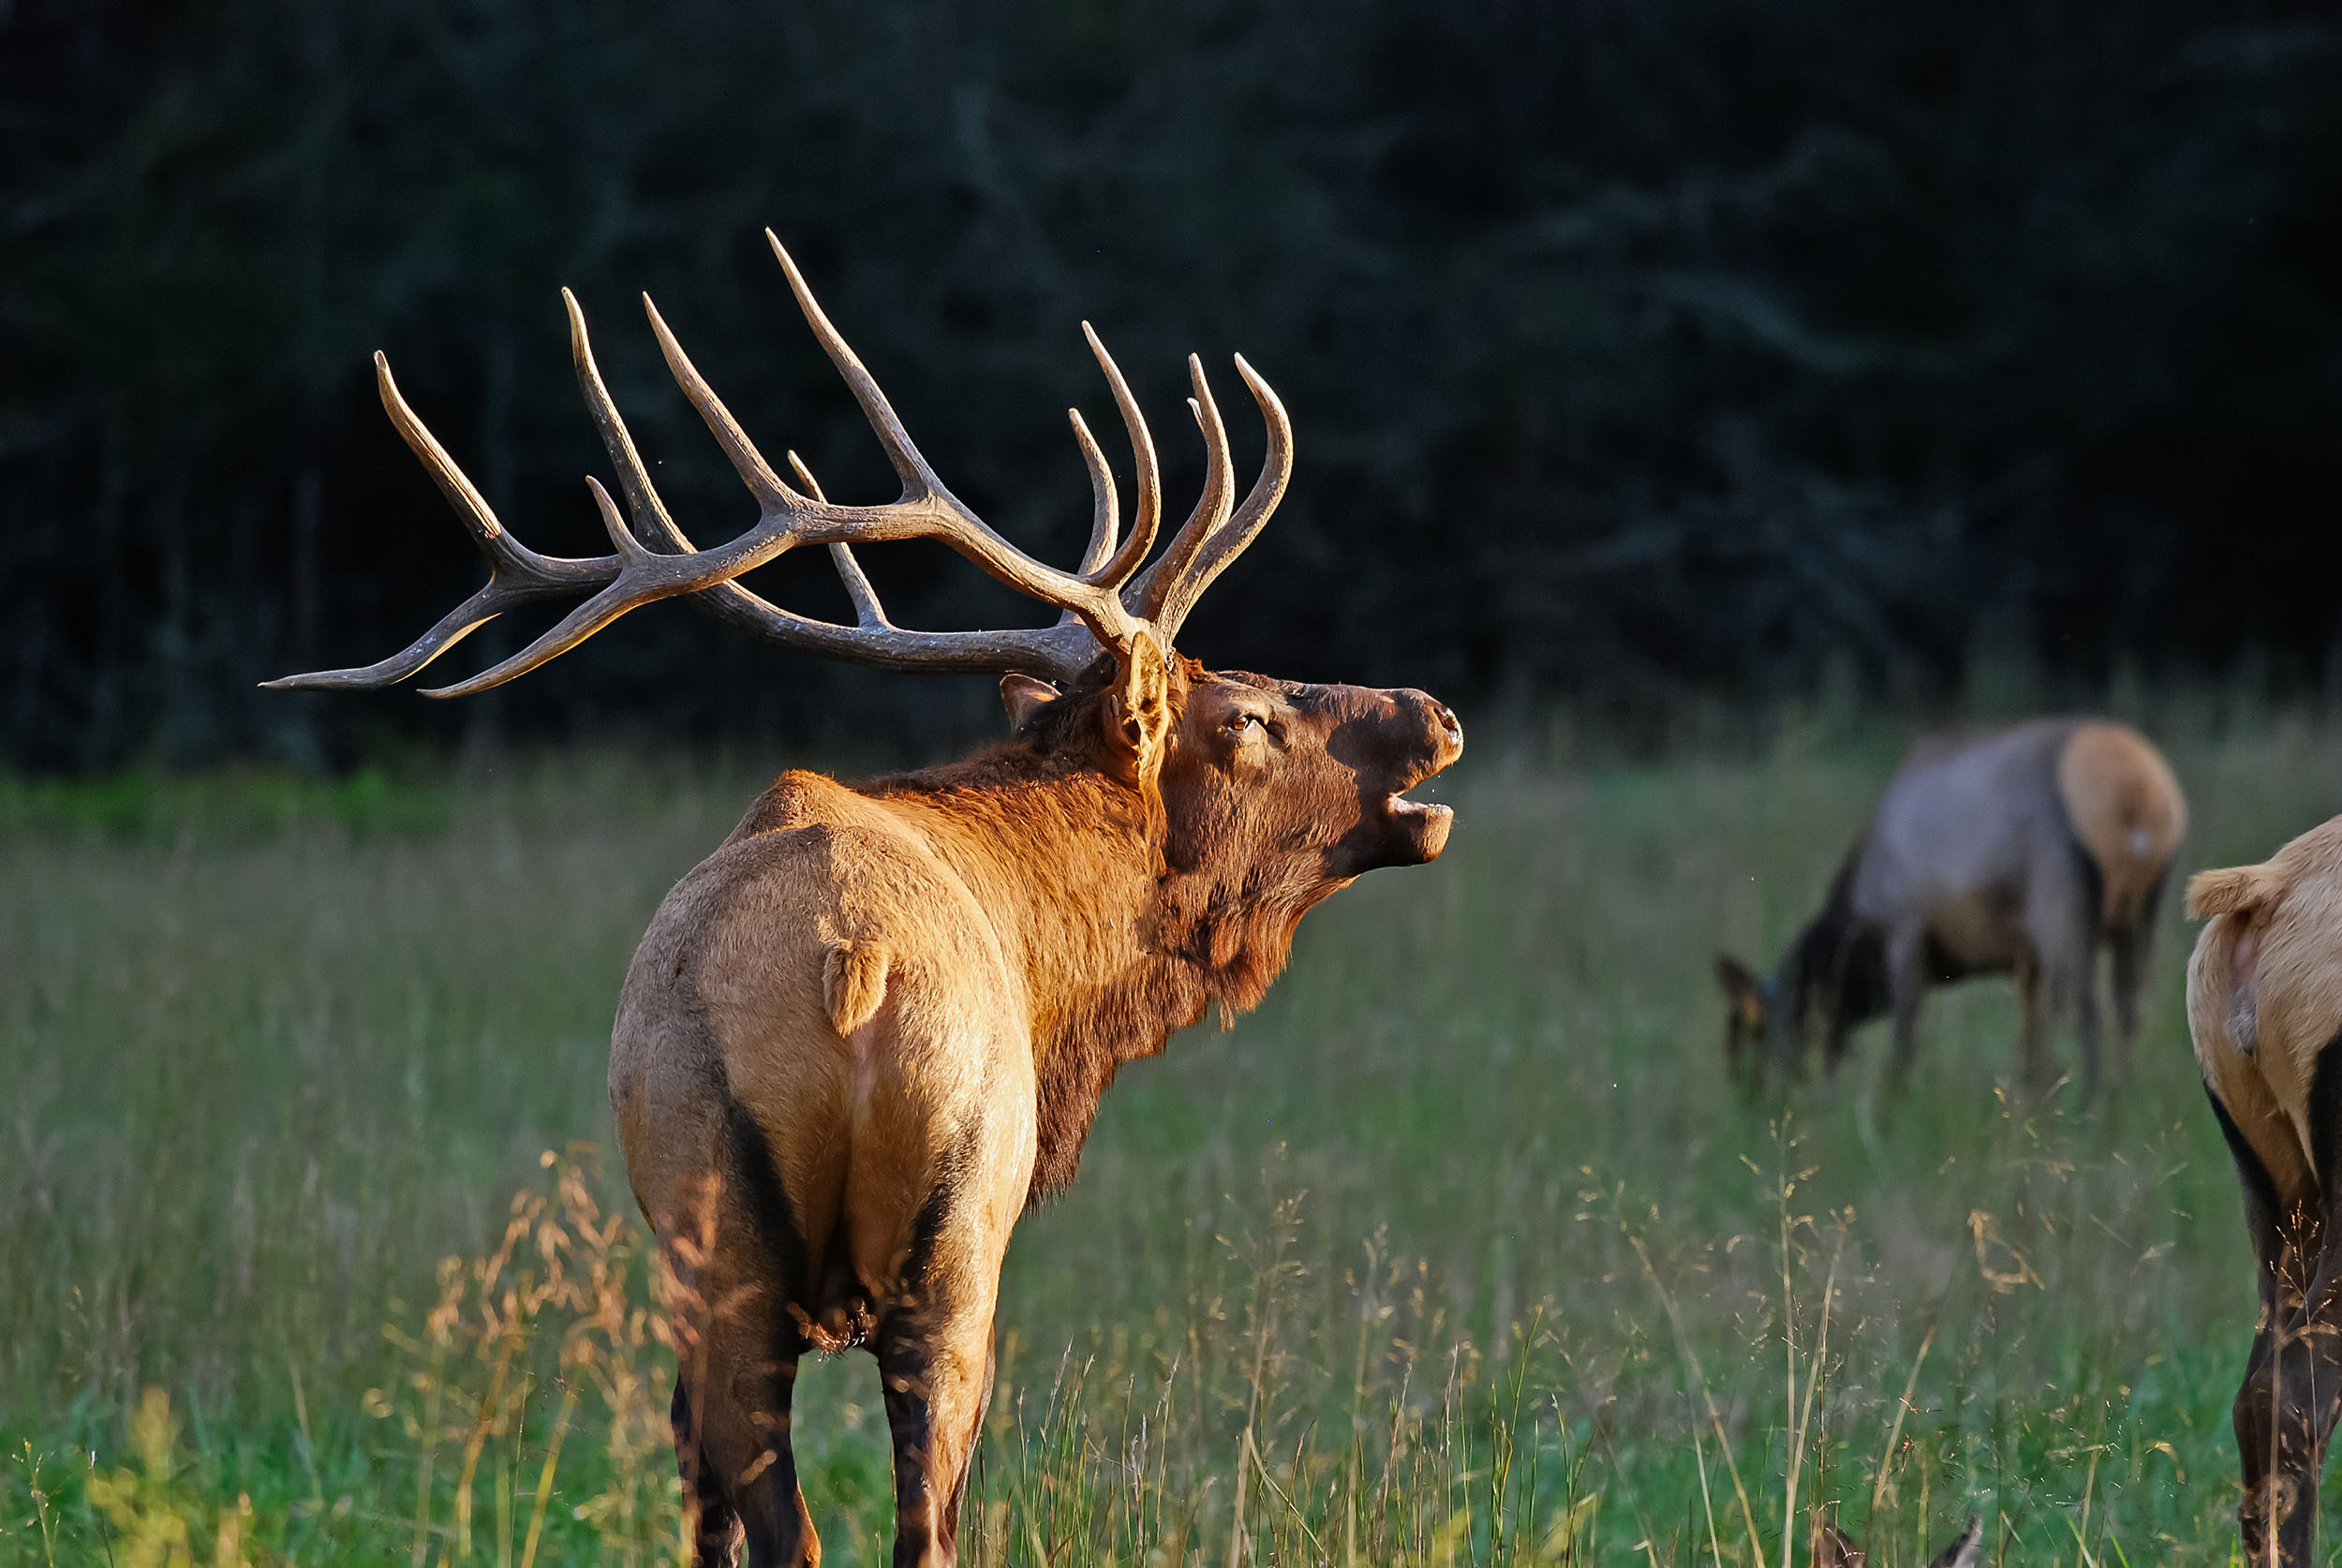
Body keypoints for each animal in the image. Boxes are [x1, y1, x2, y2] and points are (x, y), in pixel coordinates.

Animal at [265, 233, 1452, 1568]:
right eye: (1245, 718)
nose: (1432, 711)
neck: (1053, 985)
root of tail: (856, 968)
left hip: (735, 1255)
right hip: (947, 1246)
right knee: (876, 1522)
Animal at [1714, 716, 2183, 1095]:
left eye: (1757, 1036)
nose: (1751, 1100)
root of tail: (2138, 792)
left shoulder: (1903, 928)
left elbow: (1904, 1043)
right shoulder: (2025, 959)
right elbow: (2031, 1055)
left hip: (2061, 907)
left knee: (2087, 1014)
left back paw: (2093, 1105)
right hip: (2144, 913)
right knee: (2130, 1011)